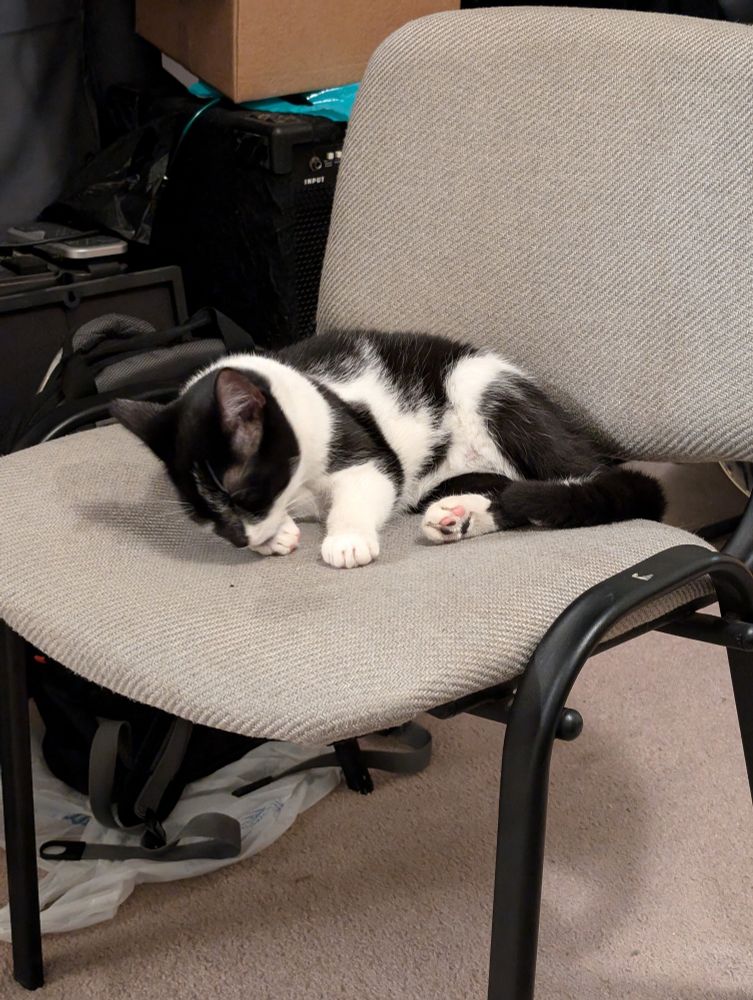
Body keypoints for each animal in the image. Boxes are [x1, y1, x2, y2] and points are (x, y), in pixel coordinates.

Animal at [111, 330, 665, 569]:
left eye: (243, 494)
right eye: (202, 515)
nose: (238, 540)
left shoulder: (364, 446)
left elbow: (370, 481)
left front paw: (345, 539)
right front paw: (278, 535)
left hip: (485, 387)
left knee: (596, 481)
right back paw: (458, 516)